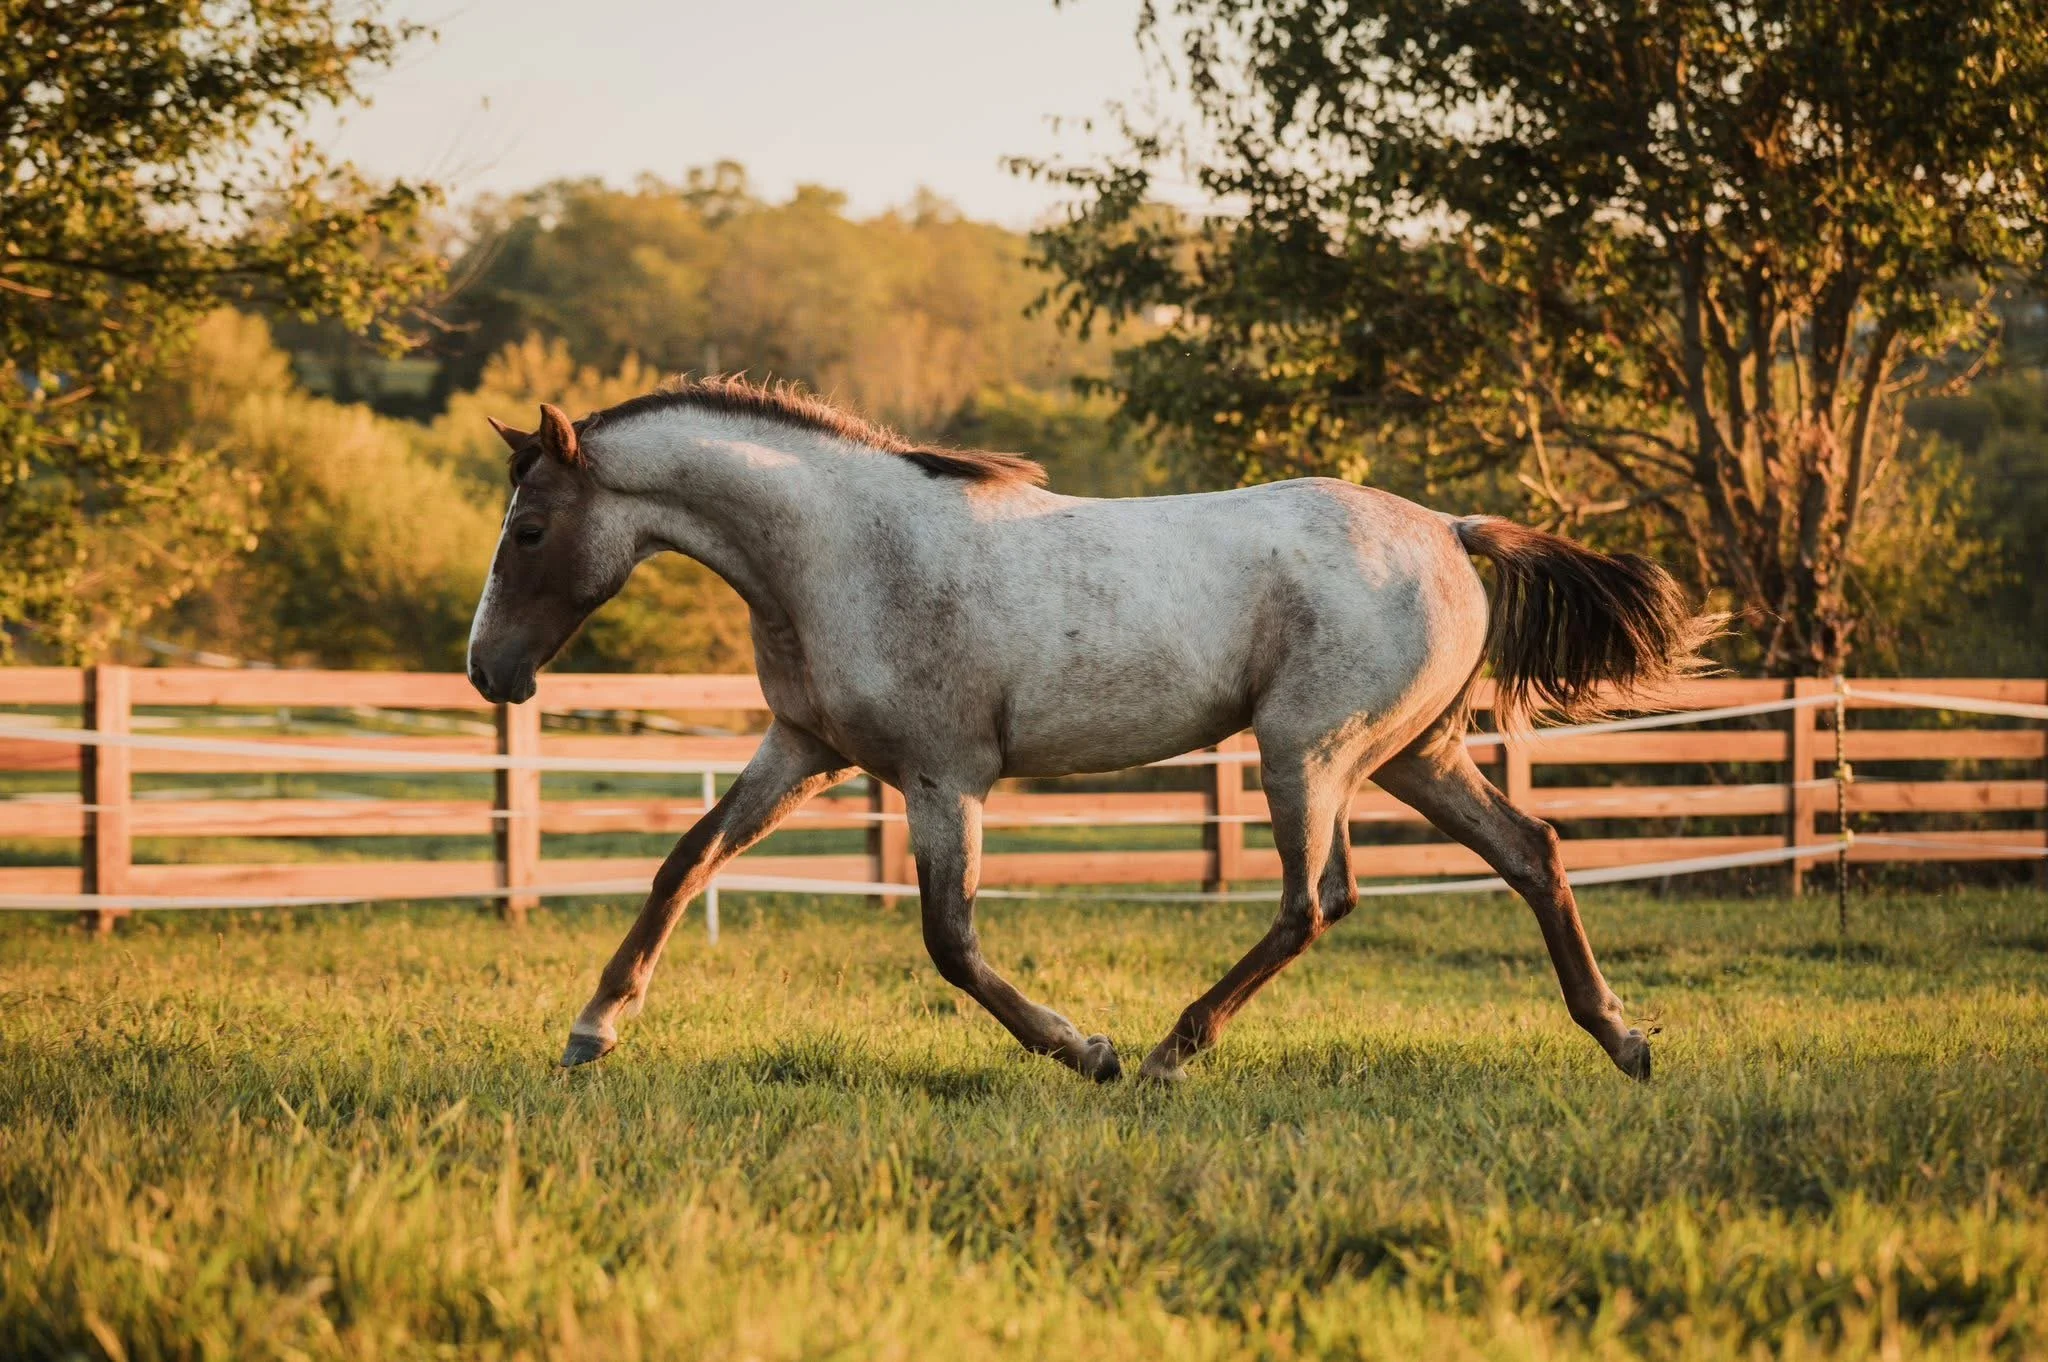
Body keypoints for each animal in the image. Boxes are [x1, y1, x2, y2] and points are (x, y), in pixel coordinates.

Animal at [466, 378, 1717, 1084]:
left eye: (527, 531)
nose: (488, 671)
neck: (848, 553)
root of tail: (1452, 530)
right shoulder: (805, 754)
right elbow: (683, 862)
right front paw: (592, 1032)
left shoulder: (944, 780)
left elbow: (950, 942)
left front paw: (1086, 1052)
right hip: (1416, 756)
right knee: (1530, 853)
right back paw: (1623, 1041)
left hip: (1305, 752)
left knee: (1314, 902)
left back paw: (1164, 1057)